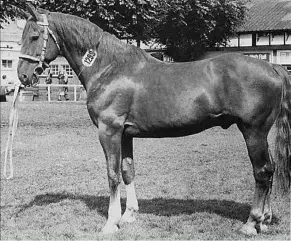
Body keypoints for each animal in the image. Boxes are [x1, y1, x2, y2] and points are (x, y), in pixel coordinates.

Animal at [17, 3, 290, 235]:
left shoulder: (109, 131)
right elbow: (127, 170)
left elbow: (112, 175)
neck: (109, 68)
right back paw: (265, 220)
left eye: (34, 37)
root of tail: (272, 67)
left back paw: (251, 223)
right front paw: (129, 215)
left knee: (261, 172)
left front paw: (111, 223)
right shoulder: (125, 133)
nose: (22, 75)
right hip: (261, 133)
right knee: (270, 169)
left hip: (253, 132)